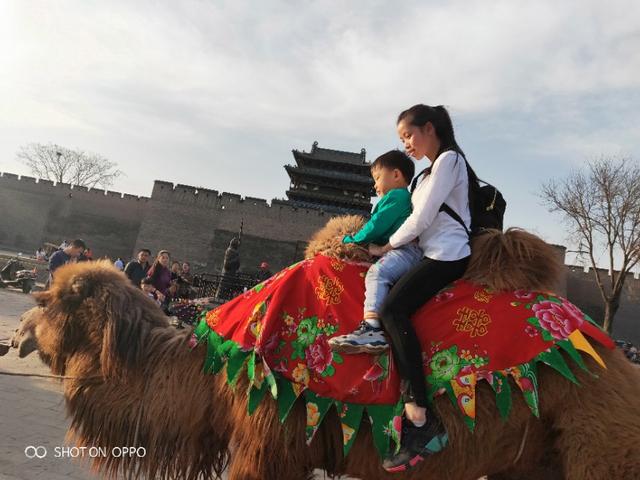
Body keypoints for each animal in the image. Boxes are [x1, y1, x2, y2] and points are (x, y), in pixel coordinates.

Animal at [5, 222, 640, 480]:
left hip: (597, 436)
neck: (208, 369)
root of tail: (610, 352)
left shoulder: (268, 439)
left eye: (51, 299)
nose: (18, 334)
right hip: (533, 455)